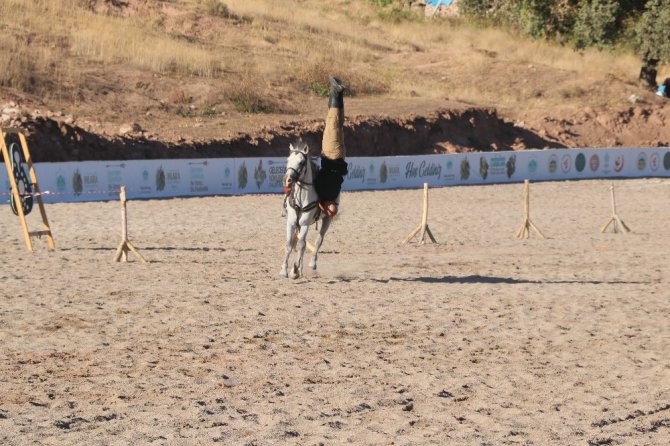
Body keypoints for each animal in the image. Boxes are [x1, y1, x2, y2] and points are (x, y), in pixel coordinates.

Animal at [280, 141, 332, 278]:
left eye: (301, 162)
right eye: (288, 160)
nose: (287, 180)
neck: (301, 198)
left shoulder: (304, 223)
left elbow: (301, 245)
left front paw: (295, 270)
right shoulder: (291, 222)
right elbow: (289, 244)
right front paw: (284, 270)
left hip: (327, 219)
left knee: (318, 240)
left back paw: (311, 264)